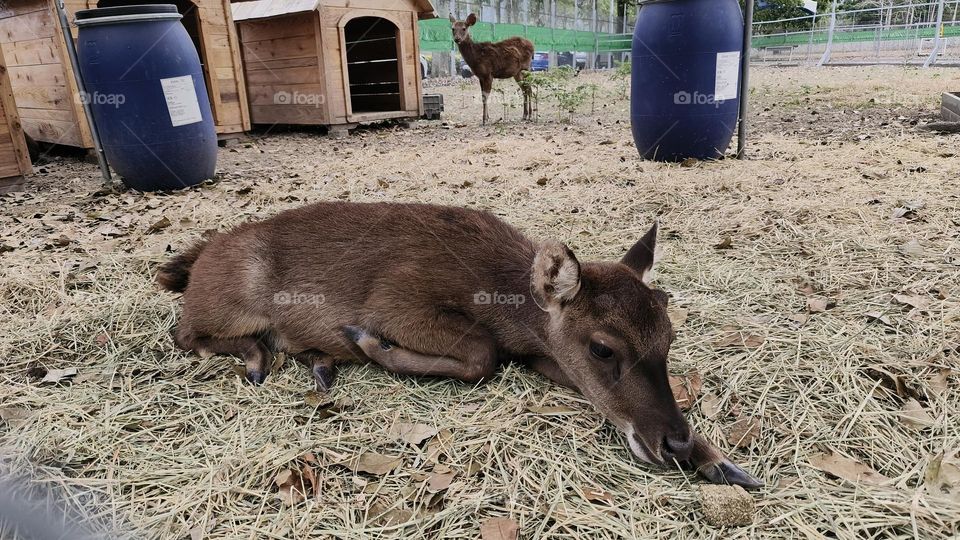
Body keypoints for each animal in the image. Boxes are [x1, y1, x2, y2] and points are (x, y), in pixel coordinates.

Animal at [157, 201, 762, 488]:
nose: (674, 442)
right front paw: (367, 343)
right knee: (183, 332)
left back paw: (320, 364)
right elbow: (481, 355)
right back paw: (262, 359)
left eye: (669, 333)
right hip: (228, 300)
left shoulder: (543, 353)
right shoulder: (397, 299)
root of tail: (196, 259)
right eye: (603, 348)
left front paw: (723, 462)